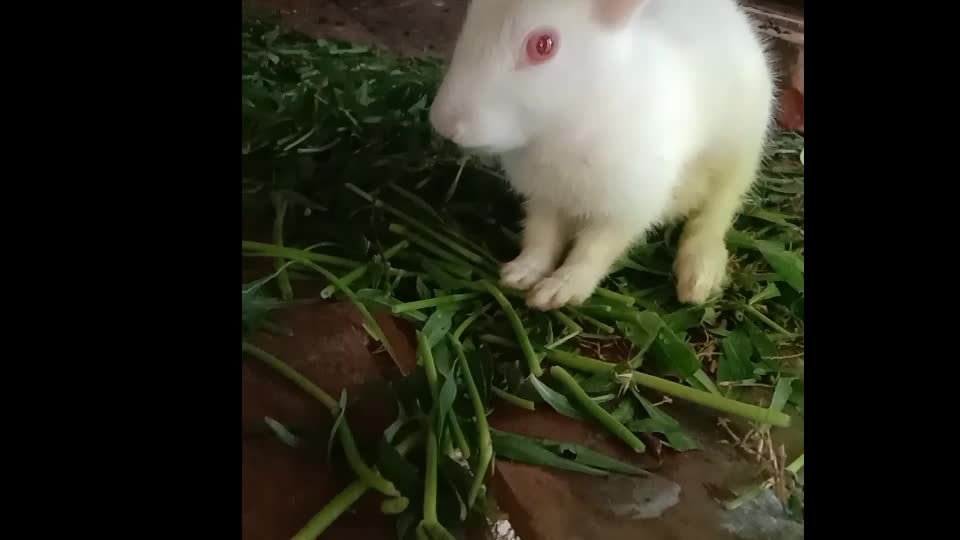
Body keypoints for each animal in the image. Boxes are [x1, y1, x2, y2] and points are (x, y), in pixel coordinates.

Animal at [432, 0, 776, 310]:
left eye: (543, 45)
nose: (443, 123)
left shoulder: (624, 211)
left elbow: (592, 252)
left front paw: (557, 292)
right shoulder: (544, 199)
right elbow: (541, 239)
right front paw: (520, 273)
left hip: (738, 158)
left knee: (715, 213)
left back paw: (698, 278)